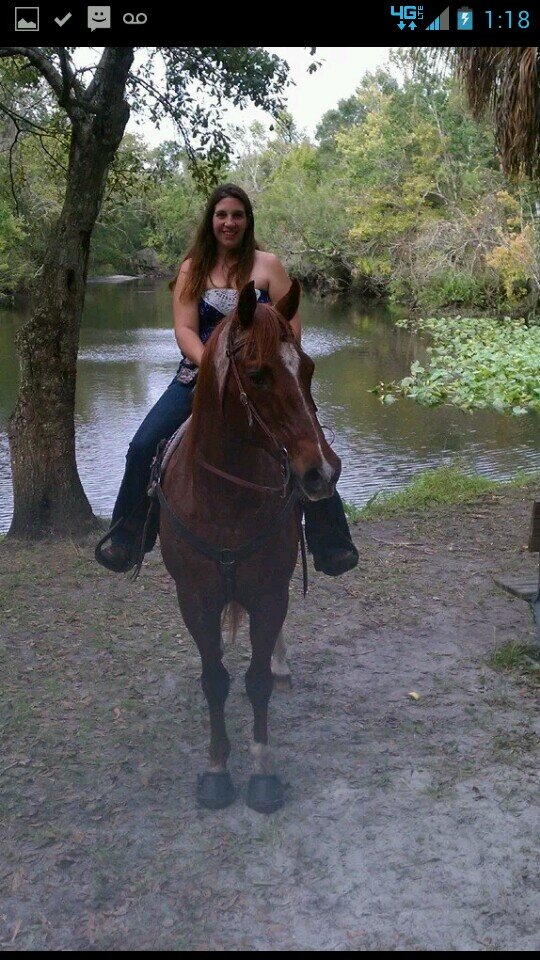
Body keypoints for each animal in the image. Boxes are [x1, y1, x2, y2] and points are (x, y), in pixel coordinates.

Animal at [158, 278, 340, 808]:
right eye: (257, 374)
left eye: (308, 368)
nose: (322, 472)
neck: (224, 499)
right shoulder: (195, 599)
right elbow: (215, 680)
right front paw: (218, 769)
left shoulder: (268, 593)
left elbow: (256, 683)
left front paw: (262, 771)